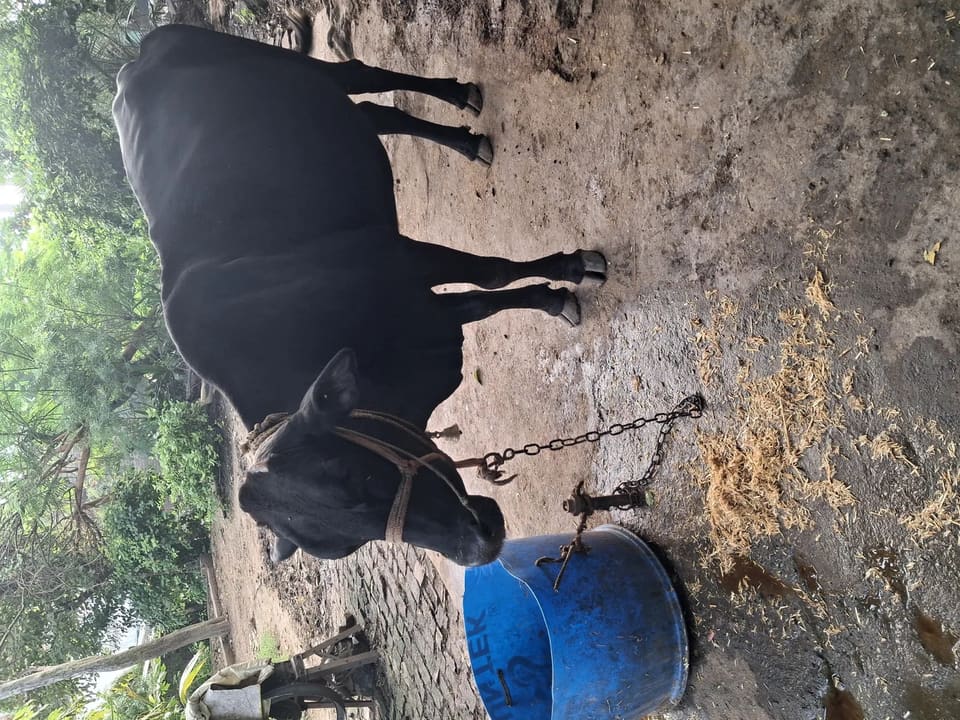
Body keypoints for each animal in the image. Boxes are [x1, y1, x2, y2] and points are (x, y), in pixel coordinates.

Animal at [113, 24, 607, 567]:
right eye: (345, 544)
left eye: (350, 477)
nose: (477, 544)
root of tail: (138, 56)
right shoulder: (421, 307)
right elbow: (480, 299)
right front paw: (556, 292)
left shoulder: (402, 260)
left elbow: (491, 277)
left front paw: (568, 276)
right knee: (377, 112)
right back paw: (464, 138)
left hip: (291, 63)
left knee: (361, 76)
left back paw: (460, 98)